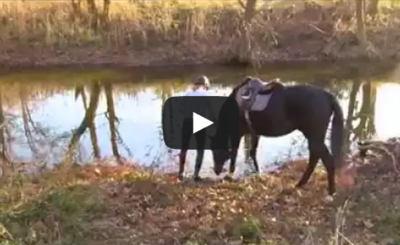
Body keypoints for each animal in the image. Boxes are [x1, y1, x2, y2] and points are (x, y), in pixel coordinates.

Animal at [211, 77, 346, 196]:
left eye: (214, 150)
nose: (216, 171)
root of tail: (328, 96)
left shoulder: (238, 134)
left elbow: (235, 154)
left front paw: (230, 174)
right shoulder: (255, 133)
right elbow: (253, 152)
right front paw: (258, 172)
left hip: (314, 137)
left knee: (327, 160)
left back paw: (331, 192)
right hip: (314, 137)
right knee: (315, 158)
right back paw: (301, 184)